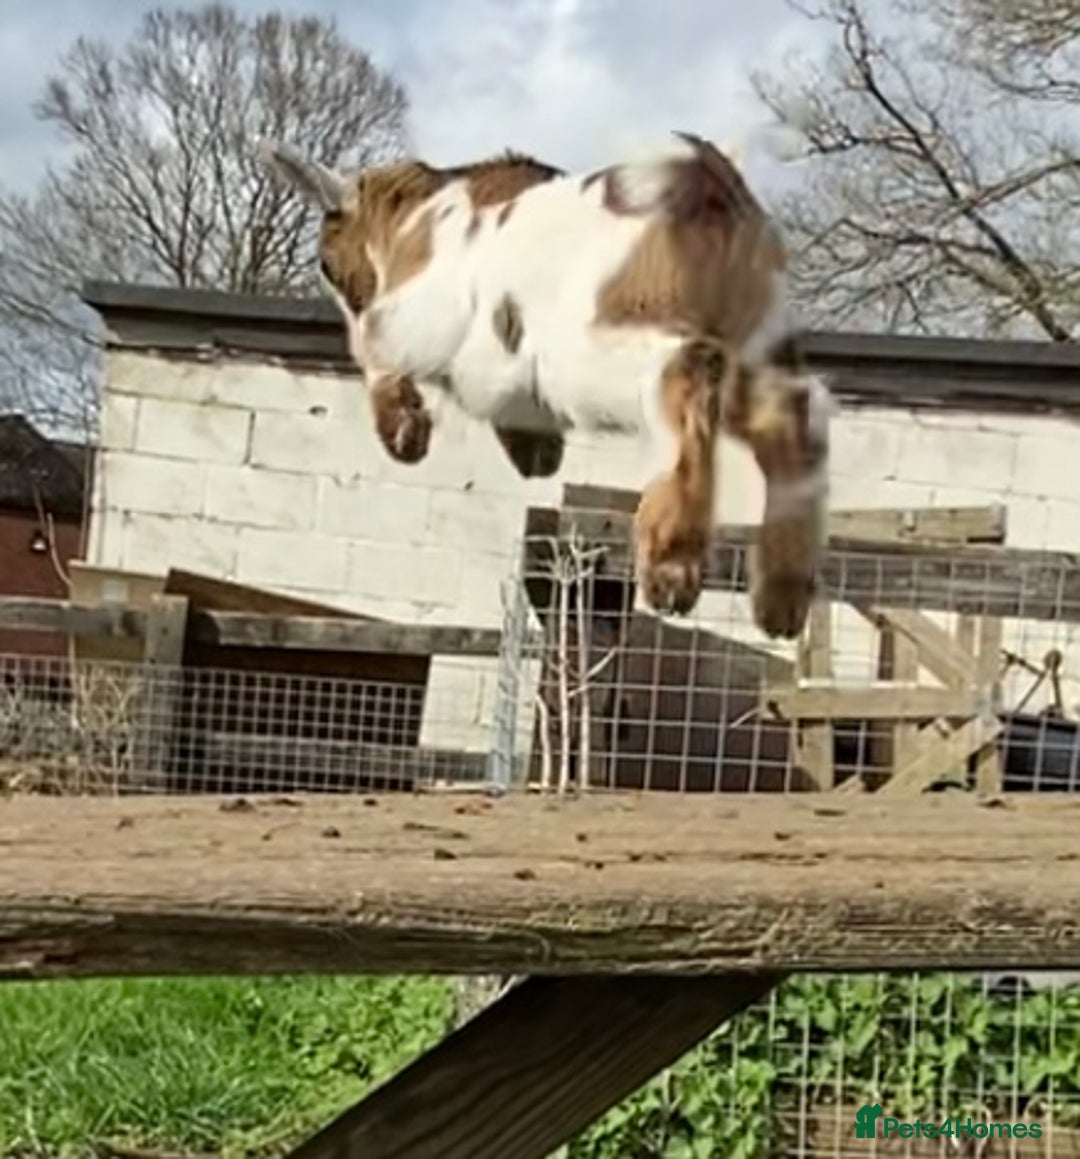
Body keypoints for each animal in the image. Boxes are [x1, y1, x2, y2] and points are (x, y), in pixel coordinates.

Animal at [257, 132, 832, 638]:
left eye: (327, 264)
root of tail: (709, 183)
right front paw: (536, 454)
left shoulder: (421, 325)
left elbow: (374, 349)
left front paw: (405, 433)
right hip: (757, 341)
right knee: (797, 417)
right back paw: (782, 597)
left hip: (595, 354)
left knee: (690, 377)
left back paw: (671, 567)